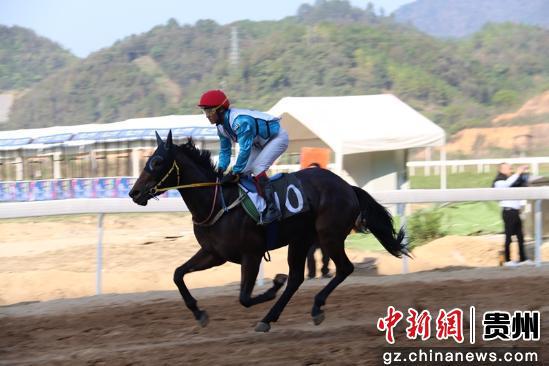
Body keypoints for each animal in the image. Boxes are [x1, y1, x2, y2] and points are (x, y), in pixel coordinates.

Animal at [130, 132, 406, 332]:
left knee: (344, 268)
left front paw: (273, 285)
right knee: (296, 279)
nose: (134, 193)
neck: (217, 202)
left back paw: (315, 307)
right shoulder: (214, 254)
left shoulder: (251, 254)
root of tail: (347, 187)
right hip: (300, 240)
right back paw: (270, 318)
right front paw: (199, 313)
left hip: (329, 235)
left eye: (157, 162)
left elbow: (244, 297)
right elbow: (178, 274)